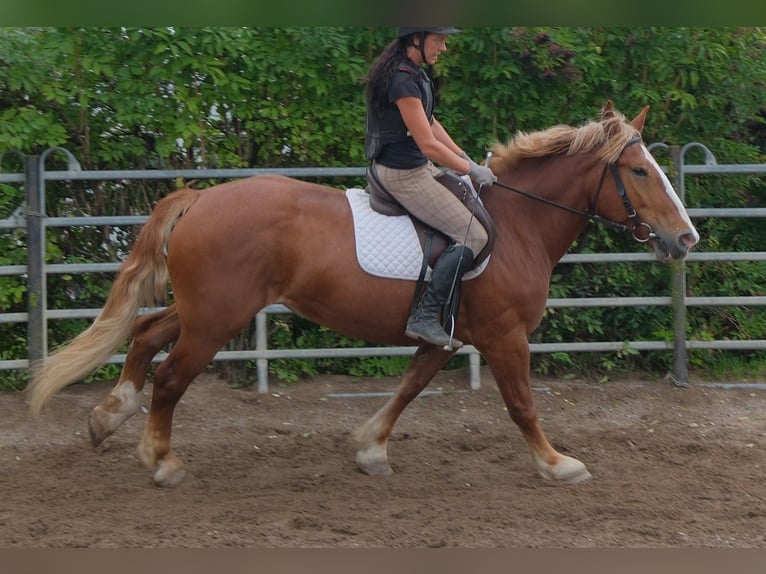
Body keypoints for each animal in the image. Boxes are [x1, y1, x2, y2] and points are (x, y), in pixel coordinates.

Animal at [28, 102, 699, 488]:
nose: (686, 238)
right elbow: (522, 406)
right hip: (216, 320)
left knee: (145, 334)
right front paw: (557, 463)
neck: (515, 225)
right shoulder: (506, 337)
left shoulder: (447, 336)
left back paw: (109, 416)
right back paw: (161, 459)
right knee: (169, 378)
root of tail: (199, 197)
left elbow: (407, 389)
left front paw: (370, 449)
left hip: (205, 312)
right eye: (640, 171)